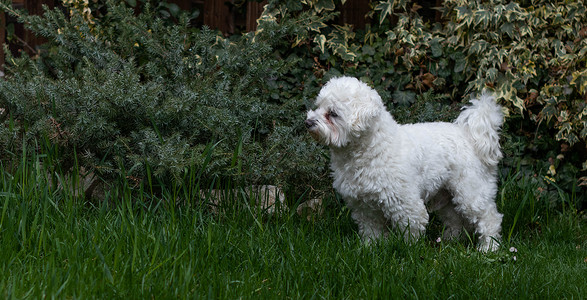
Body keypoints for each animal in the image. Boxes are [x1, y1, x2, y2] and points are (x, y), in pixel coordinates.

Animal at [306, 77, 504, 251]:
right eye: (318, 107)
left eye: (332, 114)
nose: (308, 122)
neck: (371, 149)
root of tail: (468, 135)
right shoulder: (364, 207)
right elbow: (372, 230)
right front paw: (371, 247)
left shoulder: (406, 203)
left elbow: (411, 230)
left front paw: (409, 250)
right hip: (445, 195)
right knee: (455, 219)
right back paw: (450, 240)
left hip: (471, 191)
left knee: (489, 218)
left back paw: (489, 247)